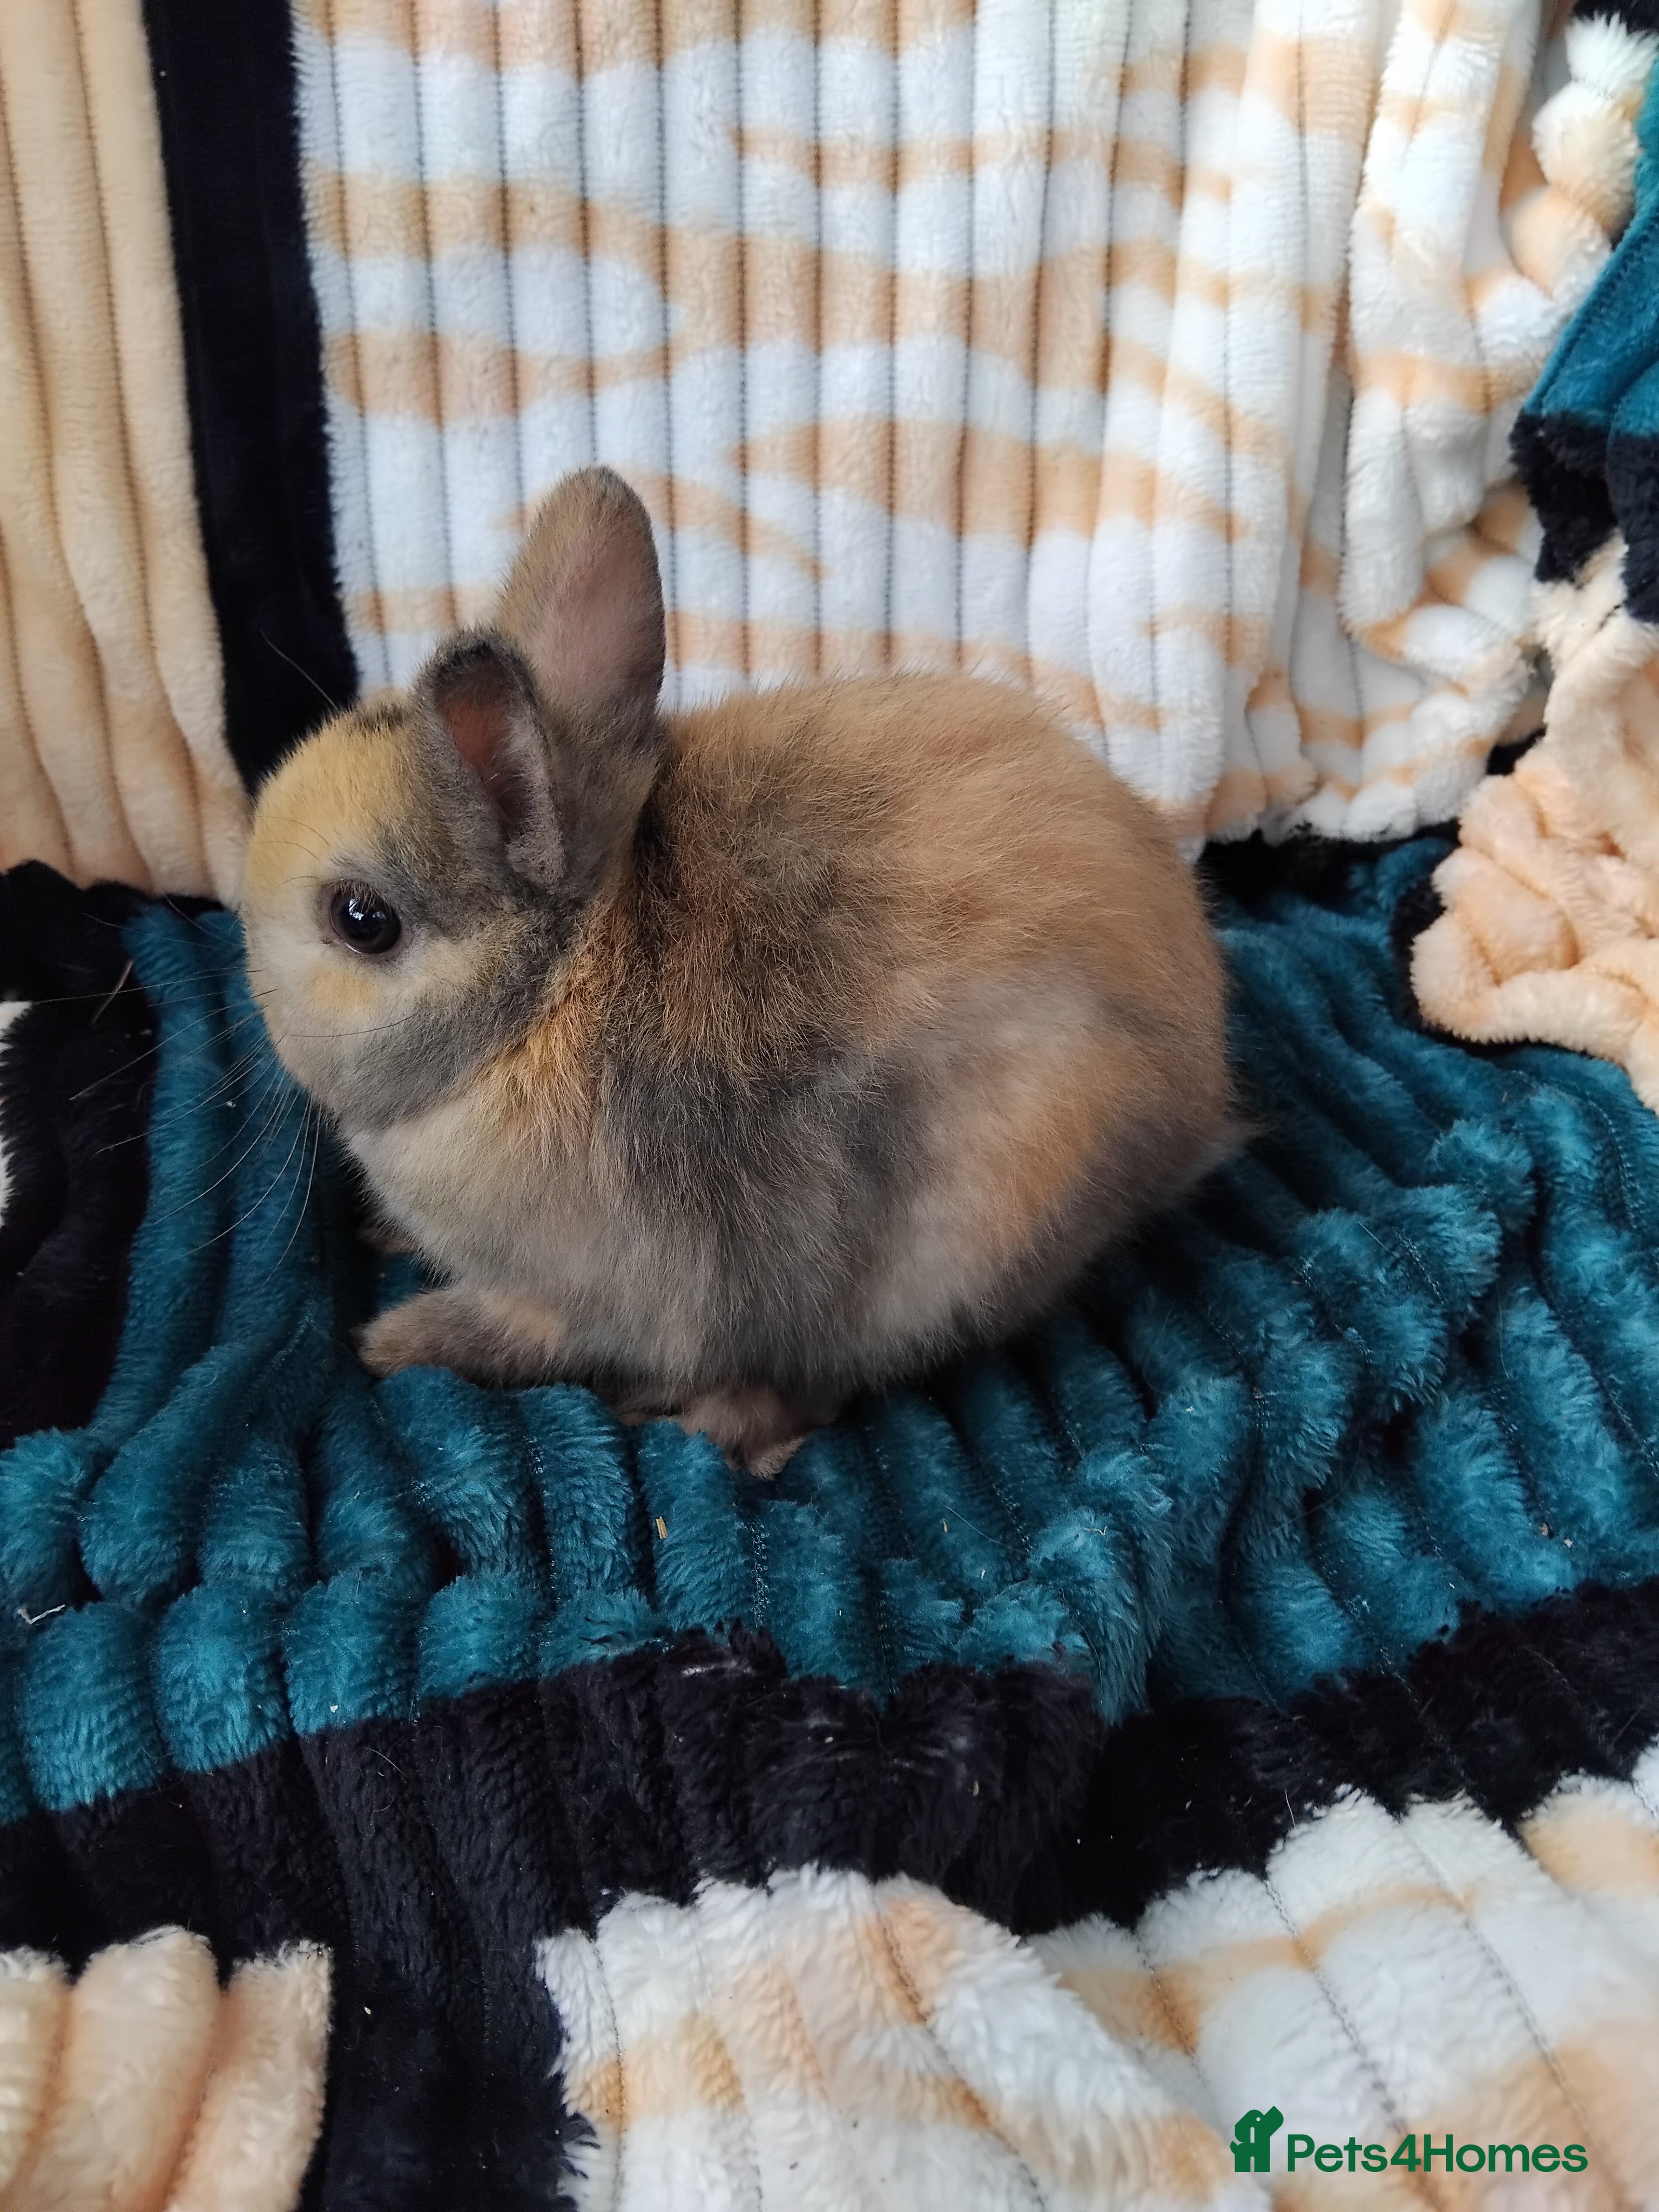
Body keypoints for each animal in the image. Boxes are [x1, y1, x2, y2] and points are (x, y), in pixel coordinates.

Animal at [240, 467, 1234, 1474]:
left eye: (361, 921)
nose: (256, 992)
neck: (549, 996)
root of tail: (1196, 1101)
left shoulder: (570, 1298)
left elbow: (510, 1336)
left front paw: (391, 1343)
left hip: (925, 1261)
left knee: (817, 1384)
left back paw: (705, 1426)